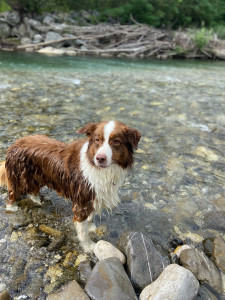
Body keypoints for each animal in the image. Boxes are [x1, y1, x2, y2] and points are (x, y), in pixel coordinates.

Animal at [0, 120, 141, 252]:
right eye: (97, 140)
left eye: (116, 141)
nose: (100, 158)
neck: (96, 166)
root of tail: (14, 144)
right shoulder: (82, 200)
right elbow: (82, 230)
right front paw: (88, 246)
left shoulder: (91, 197)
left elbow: (89, 217)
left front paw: (90, 226)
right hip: (19, 178)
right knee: (12, 194)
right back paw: (12, 208)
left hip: (35, 177)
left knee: (32, 190)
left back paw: (37, 201)